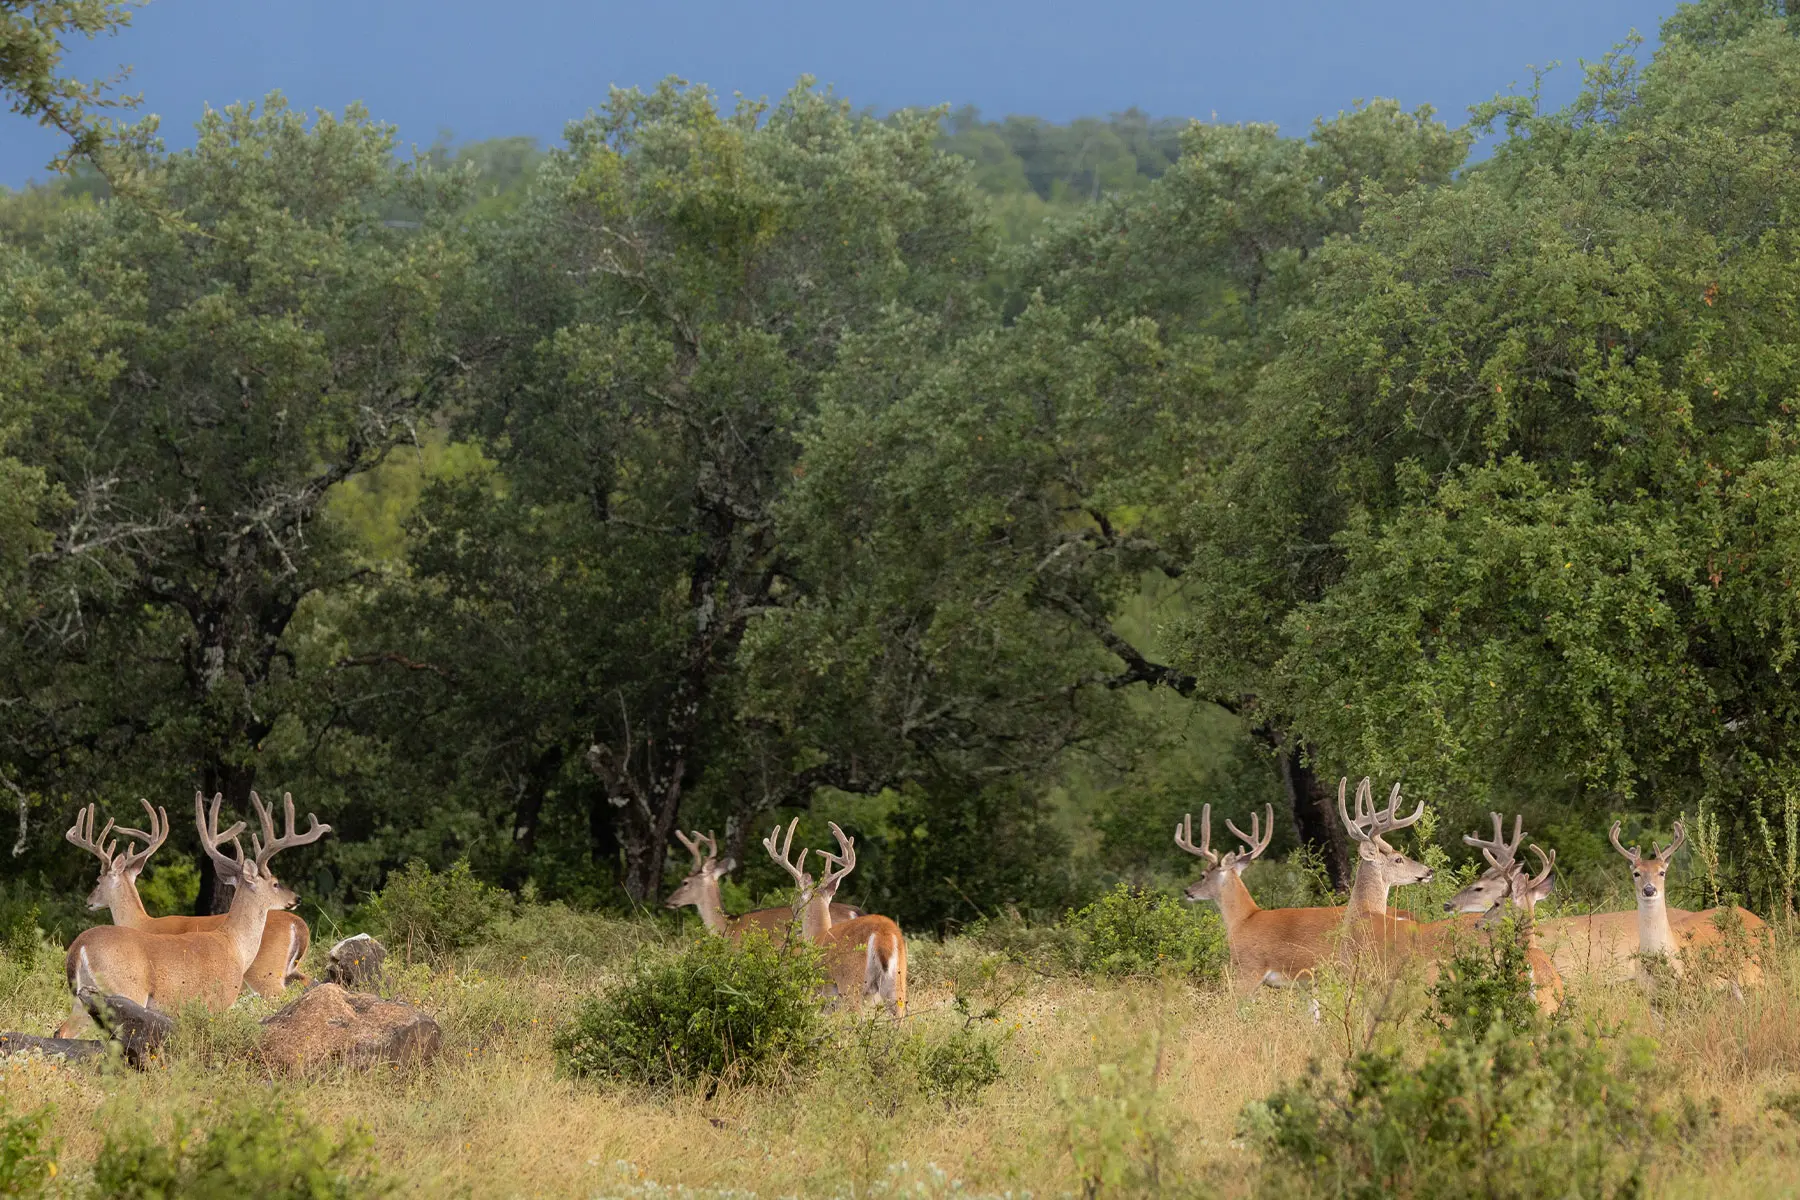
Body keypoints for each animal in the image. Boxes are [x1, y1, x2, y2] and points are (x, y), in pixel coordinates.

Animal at [57, 791, 334, 1036]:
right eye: (276, 883)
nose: (296, 898)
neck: (234, 944)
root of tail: (79, 946)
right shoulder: (218, 1000)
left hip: (87, 998)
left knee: (63, 1031)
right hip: (125, 989)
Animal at [763, 820, 907, 1021]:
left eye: (796, 896)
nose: (793, 917)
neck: (818, 935)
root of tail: (883, 934)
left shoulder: (816, 989)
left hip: (851, 982)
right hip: (898, 982)